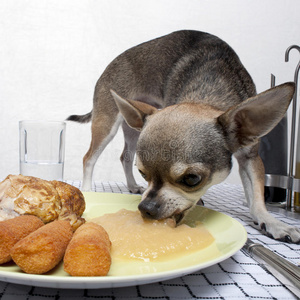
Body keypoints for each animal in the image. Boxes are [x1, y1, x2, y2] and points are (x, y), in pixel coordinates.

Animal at [68, 29, 300, 241]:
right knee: (89, 158)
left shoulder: (250, 156)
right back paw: (88, 189)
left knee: (125, 156)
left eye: (192, 179)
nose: (146, 207)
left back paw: (132, 186)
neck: (209, 92)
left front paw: (269, 220)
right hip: (106, 122)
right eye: (144, 173)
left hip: (133, 130)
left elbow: (257, 193)